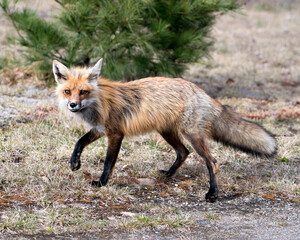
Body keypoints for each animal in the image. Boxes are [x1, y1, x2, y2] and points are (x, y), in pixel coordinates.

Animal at [52, 58, 276, 202]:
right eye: (68, 91)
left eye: (83, 91)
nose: (73, 105)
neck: (99, 102)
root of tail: (203, 93)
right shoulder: (99, 129)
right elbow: (79, 142)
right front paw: (74, 163)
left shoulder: (115, 133)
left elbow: (108, 163)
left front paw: (101, 183)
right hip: (168, 133)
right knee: (184, 152)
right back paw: (167, 175)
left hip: (192, 136)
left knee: (212, 162)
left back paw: (212, 193)